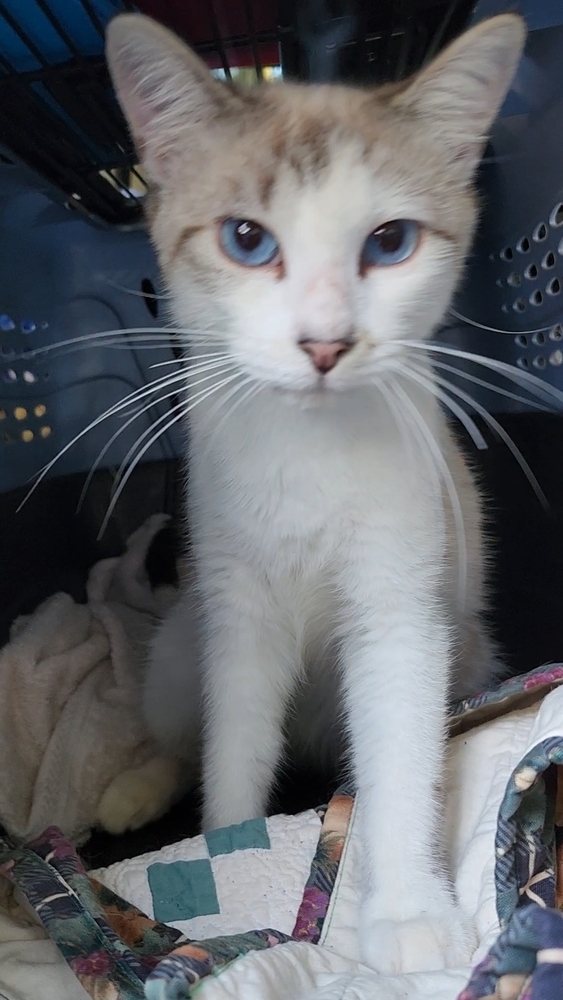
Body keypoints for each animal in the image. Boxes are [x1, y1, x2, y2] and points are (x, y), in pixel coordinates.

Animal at [107, 11, 528, 972]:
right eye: (246, 240)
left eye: (389, 242)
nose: (326, 342)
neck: (308, 449)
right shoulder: (237, 612)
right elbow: (232, 745)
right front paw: (226, 855)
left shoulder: (403, 607)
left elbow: (401, 748)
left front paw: (407, 911)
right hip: (181, 642)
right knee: (178, 725)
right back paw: (134, 781)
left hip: (473, 651)